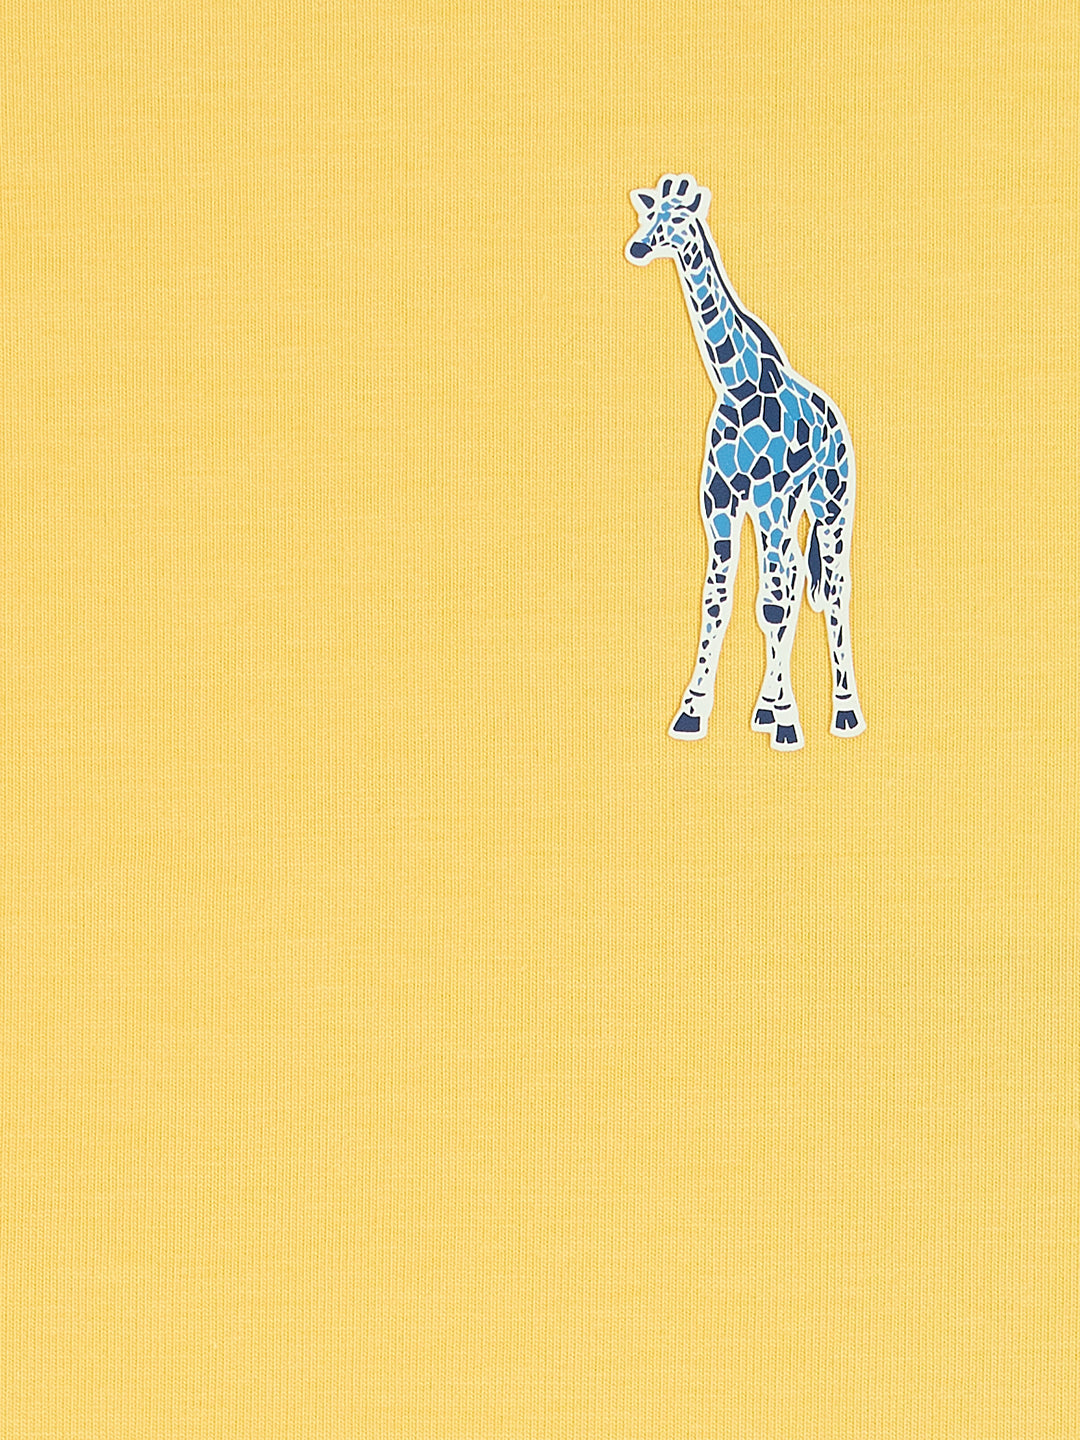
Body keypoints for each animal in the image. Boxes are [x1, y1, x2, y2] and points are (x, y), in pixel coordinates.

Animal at [626, 173, 866, 749]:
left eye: (680, 217)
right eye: (648, 214)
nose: (638, 248)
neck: (735, 387)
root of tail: (839, 423)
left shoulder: (768, 499)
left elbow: (771, 604)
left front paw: (788, 723)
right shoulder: (721, 503)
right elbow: (717, 598)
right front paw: (692, 712)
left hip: (828, 504)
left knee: (831, 588)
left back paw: (843, 711)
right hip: (785, 511)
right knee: (796, 578)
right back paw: (766, 705)